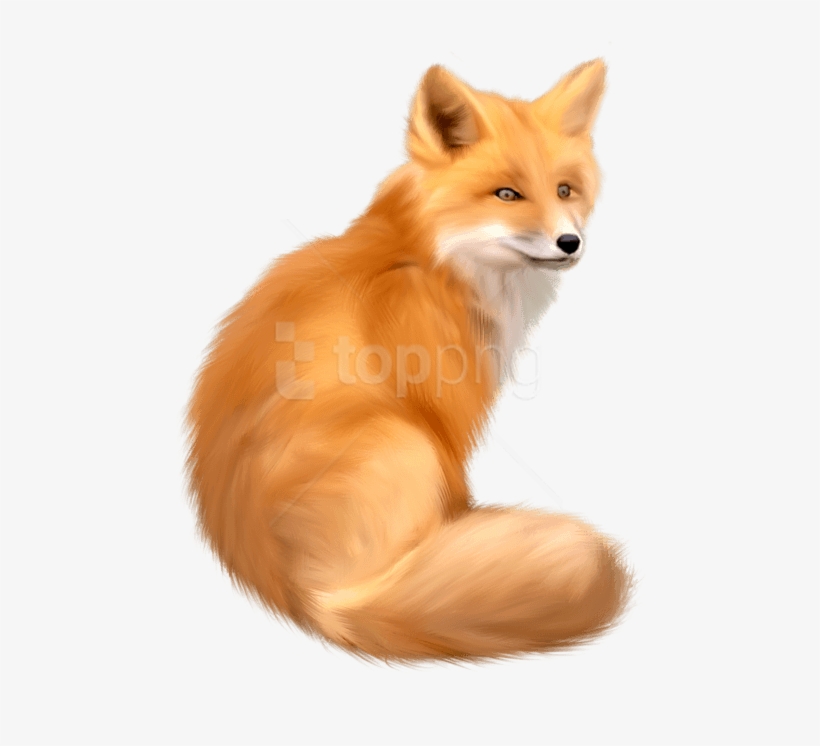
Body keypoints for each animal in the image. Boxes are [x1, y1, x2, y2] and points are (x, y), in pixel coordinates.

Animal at [186, 59, 631, 661]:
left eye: (566, 190)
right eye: (507, 193)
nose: (570, 242)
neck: (428, 257)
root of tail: (310, 603)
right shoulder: (443, 407)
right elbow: (457, 483)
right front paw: (467, 530)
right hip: (404, 440)